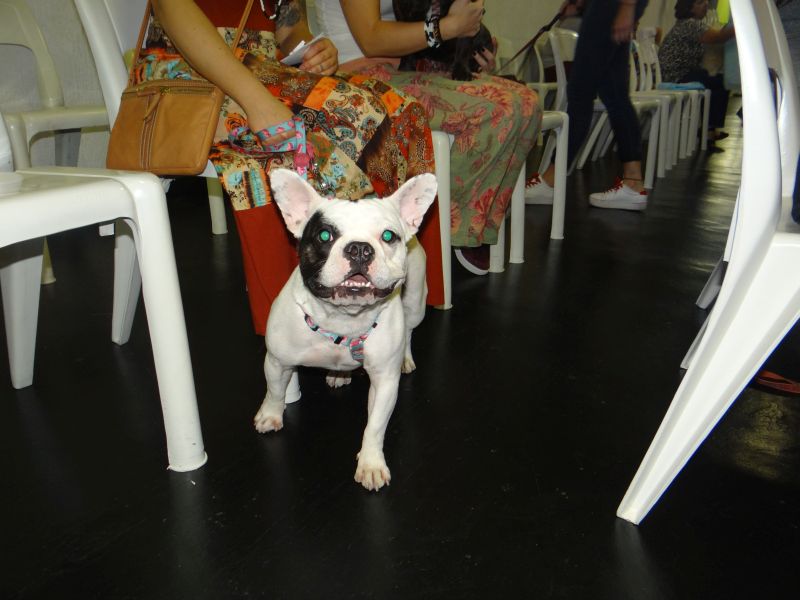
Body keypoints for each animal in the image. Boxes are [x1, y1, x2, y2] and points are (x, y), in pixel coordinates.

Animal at [253, 169, 437, 491]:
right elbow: (275, 390)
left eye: (388, 236)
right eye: (325, 235)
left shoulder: (384, 382)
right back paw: (338, 374)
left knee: (410, 330)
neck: (343, 319)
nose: (360, 248)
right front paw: (270, 414)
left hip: (415, 301)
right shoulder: (277, 361)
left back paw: (405, 357)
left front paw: (371, 463)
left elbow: (375, 425)